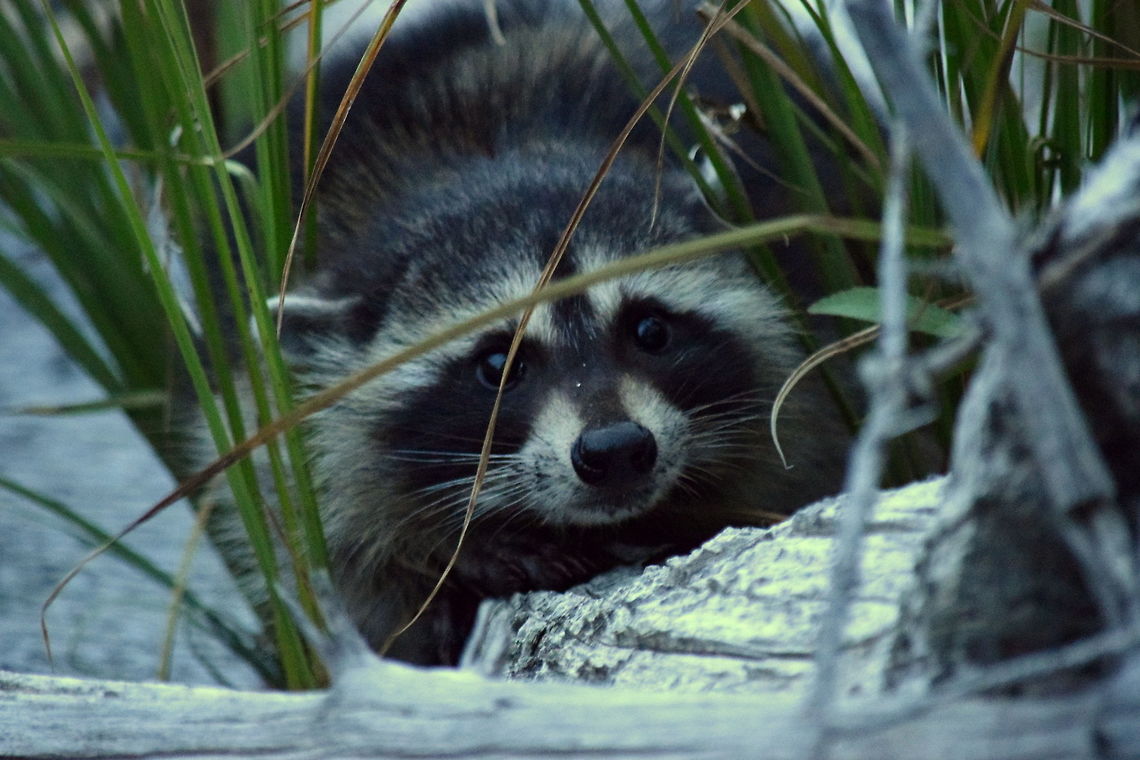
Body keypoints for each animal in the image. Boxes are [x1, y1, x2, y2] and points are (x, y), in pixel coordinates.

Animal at [210, 0, 848, 665]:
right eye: (498, 366)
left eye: (650, 330)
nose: (615, 448)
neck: (489, 159)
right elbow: (329, 543)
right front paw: (456, 550)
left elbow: (798, 446)